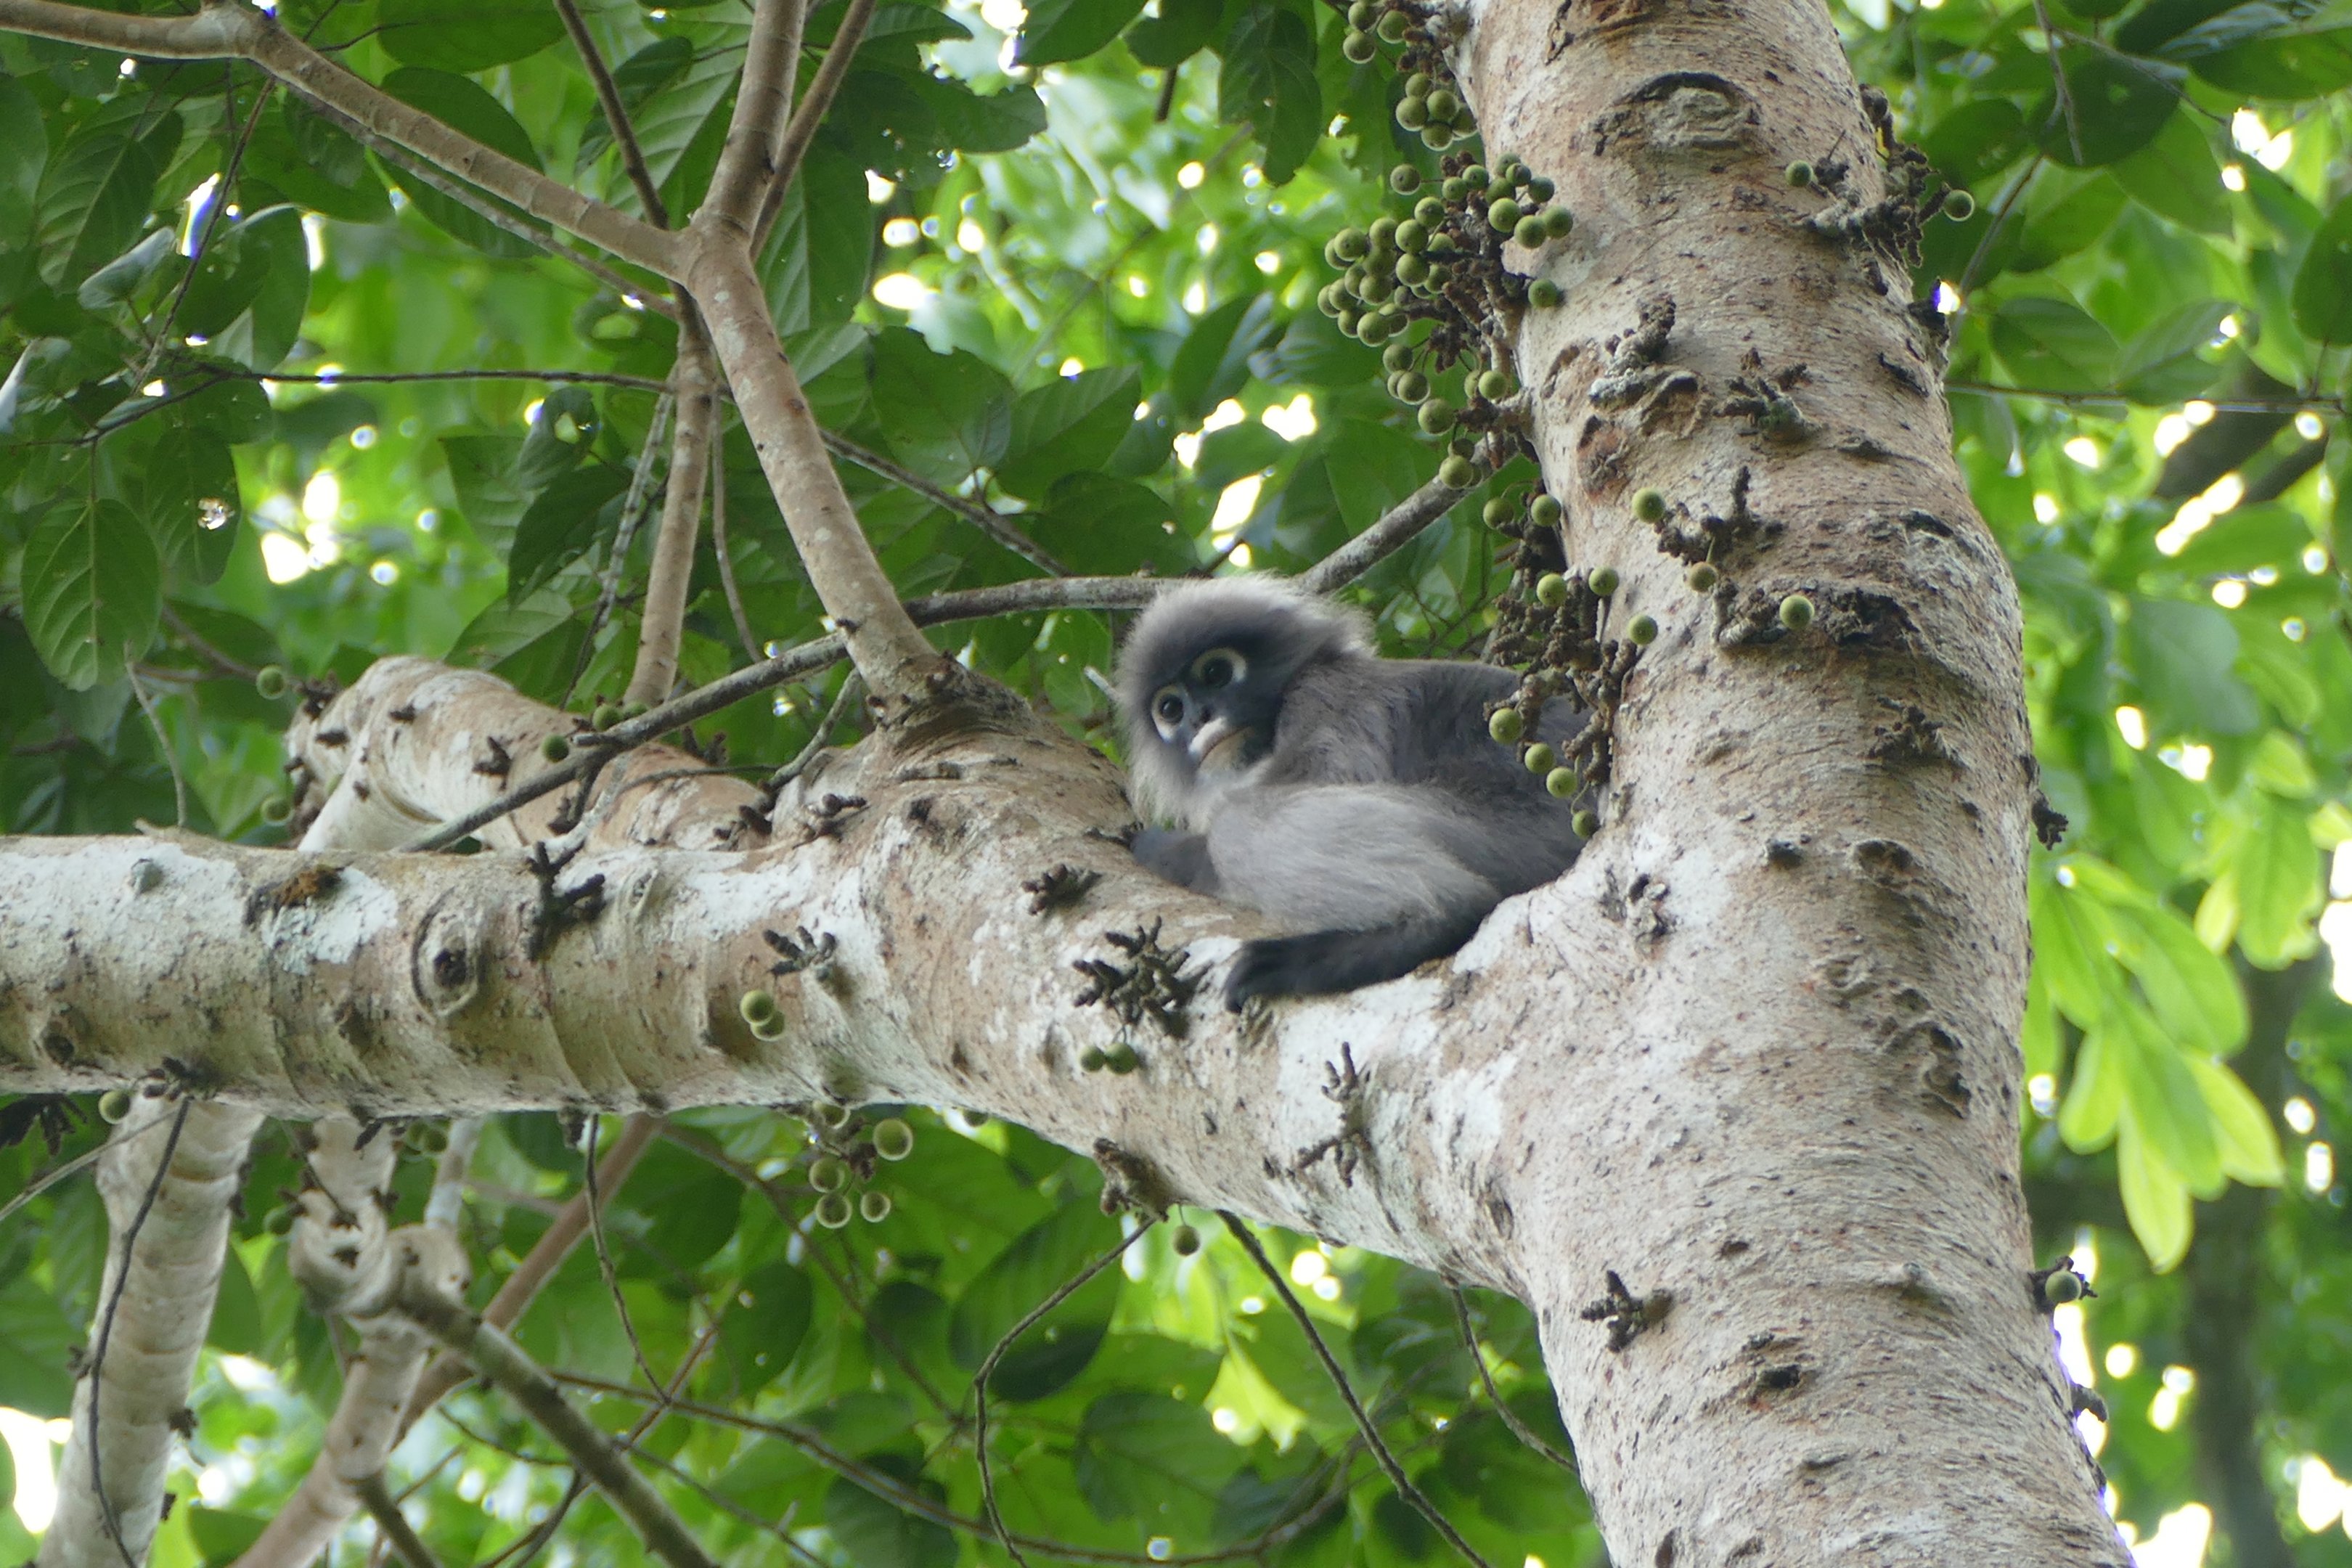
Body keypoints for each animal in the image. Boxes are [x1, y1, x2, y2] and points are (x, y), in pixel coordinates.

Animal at [1114, 576, 1588, 1010]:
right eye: (1171, 709)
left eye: (1215, 673)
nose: (1200, 717)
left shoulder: (1325, 700)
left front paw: (1167, 849)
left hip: (1516, 834)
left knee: (1237, 826)